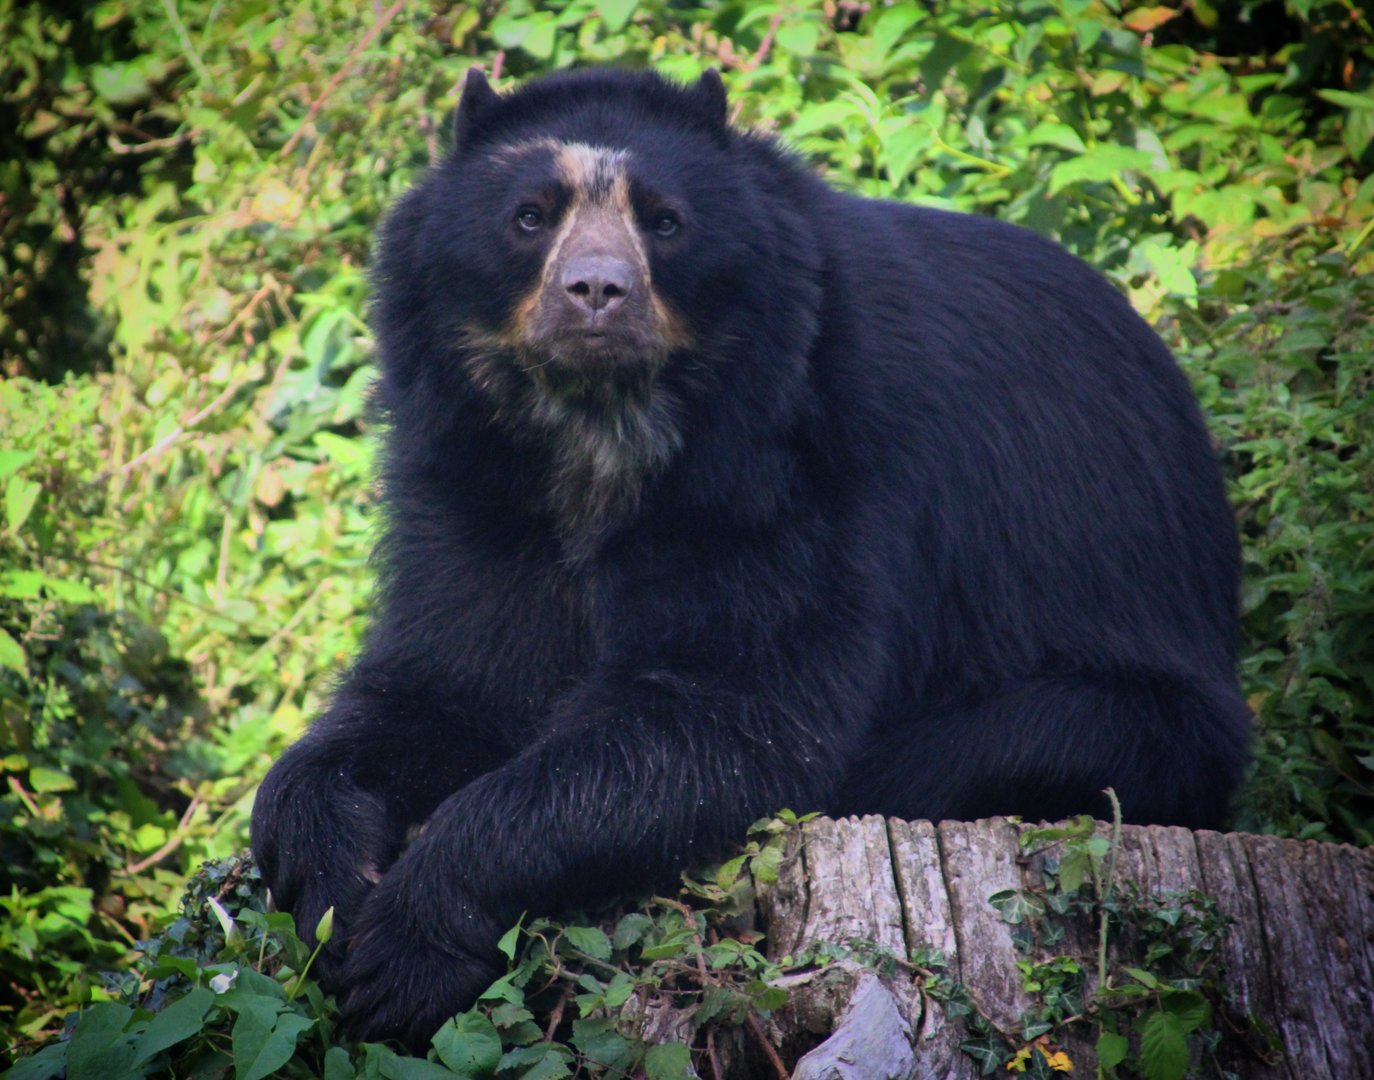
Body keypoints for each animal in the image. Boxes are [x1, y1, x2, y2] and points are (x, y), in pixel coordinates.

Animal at [250, 66, 1252, 1049]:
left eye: (665, 221)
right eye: (529, 215)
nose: (596, 293)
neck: (597, 436)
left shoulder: (791, 463)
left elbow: (730, 708)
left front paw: (407, 945)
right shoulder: (478, 482)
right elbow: (451, 678)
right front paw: (325, 876)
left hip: (1128, 695)